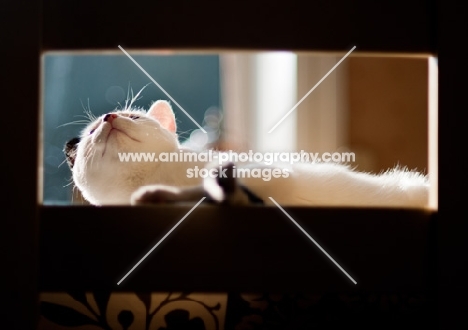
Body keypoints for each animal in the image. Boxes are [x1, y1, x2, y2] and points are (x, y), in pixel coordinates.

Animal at [64, 98, 430, 208]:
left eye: (134, 116)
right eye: (93, 132)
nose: (110, 118)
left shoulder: (267, 172)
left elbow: (209, 186)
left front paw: (159, 193)